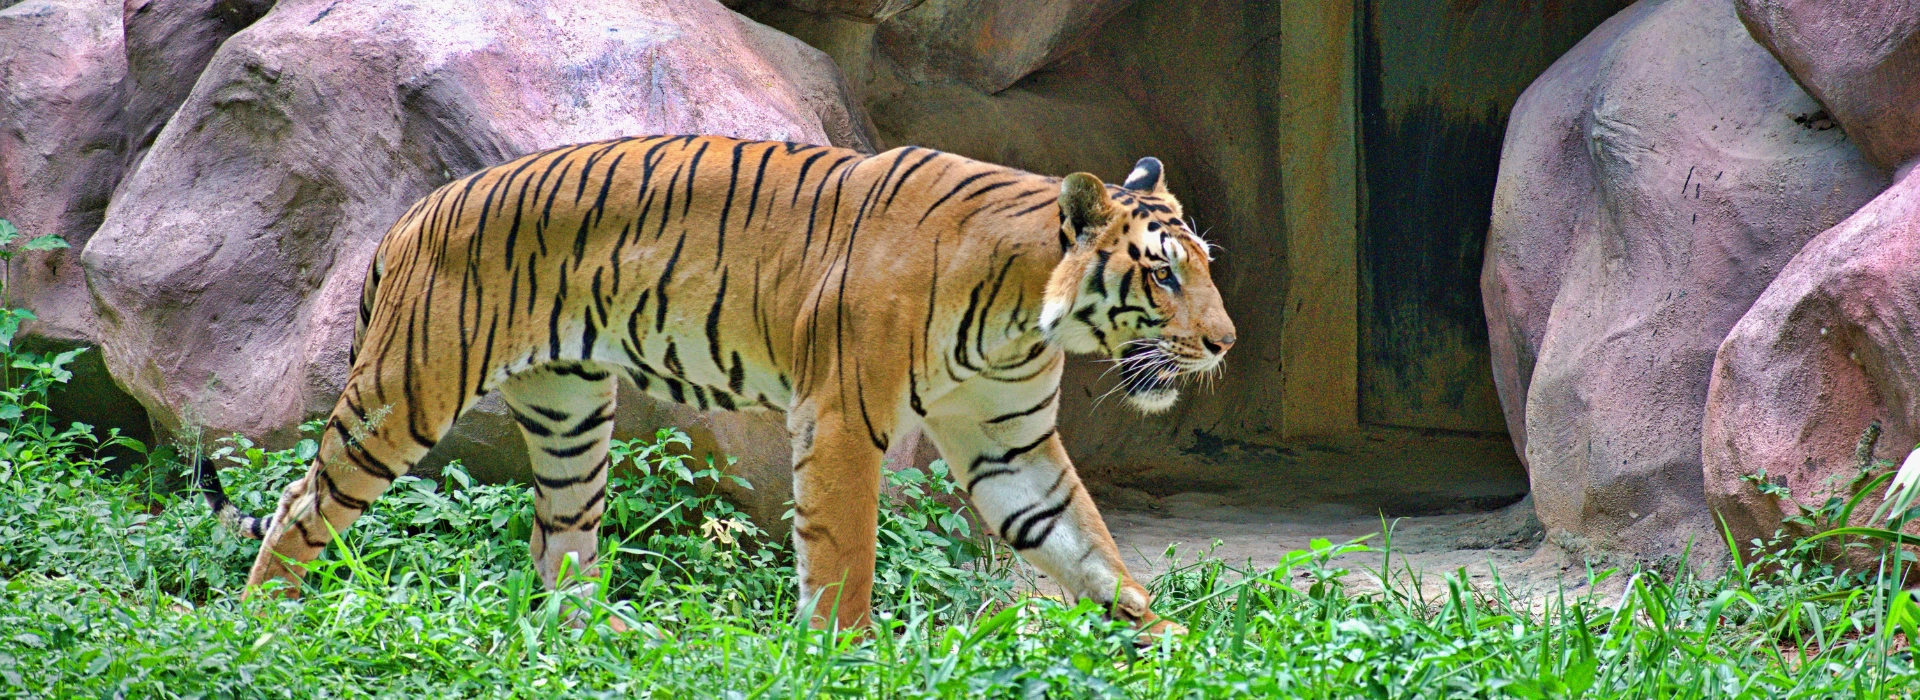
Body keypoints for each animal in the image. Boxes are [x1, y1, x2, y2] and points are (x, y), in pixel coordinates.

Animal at [196, 135, 1237, 635]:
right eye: (1163, 275)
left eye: (1202, 266)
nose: (1224, 343)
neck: (1024, 313)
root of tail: (411, 215)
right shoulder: (842, 418)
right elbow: (843, 555)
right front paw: (847, 656)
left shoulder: (1008, 438)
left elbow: (1086, 546)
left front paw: (1165, 644)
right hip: (405, 392)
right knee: (300, 502)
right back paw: (260, 624)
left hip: (571, 421)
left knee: (558, 550)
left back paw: (603, 644)